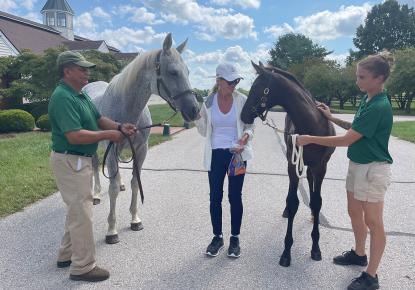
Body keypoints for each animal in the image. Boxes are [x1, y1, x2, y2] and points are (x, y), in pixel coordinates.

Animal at [83, 32, 200, 245]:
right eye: (173, 72)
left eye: (187, 71)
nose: (194, 110)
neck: (127, 108)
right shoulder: (111, 148)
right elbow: (112, 188)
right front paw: (112, 230)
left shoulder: (141, 149)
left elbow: (135, 183)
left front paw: (135, 219)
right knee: (96, 166)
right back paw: (95, 194)